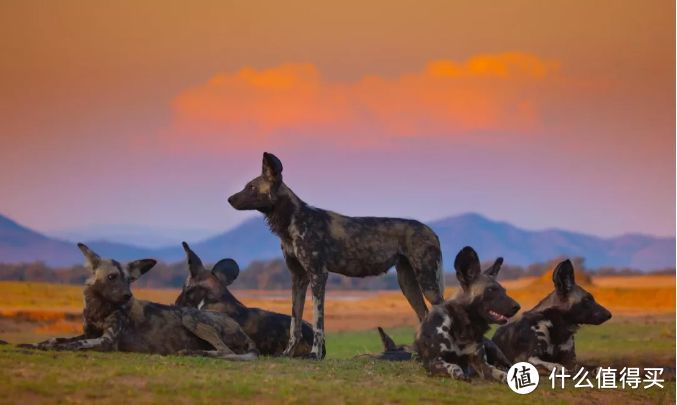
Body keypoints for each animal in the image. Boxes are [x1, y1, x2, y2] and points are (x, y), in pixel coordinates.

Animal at [25, 243, 258, 360]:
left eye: (129, 280)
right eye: (112, 277)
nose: (128, 296)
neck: (99, 308)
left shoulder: (105, 341)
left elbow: (72, 344)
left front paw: (51, 348)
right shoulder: (89, 333)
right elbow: (55, 339)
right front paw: (34, 344)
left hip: (189, 316)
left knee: (225, 352)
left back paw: (193, 352)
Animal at [230, 153, 446, 358]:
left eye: (251, 187)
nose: (229, 199)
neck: (292, 220)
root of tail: (431, 231)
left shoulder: (318, 275)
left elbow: (318, 323)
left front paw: (315, 354)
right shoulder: (298, 278)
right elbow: (294, 323)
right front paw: (288, 353)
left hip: (428, 284)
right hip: (407, 284)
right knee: (424, 315)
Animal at [412, 245, 516, 380]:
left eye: (504, 291)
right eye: (490, 290)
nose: (517, 306)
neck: (461, 327)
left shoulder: (481, 364)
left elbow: (502, 374)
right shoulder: (432, 361)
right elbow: (454, 366)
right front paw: (459, 372)